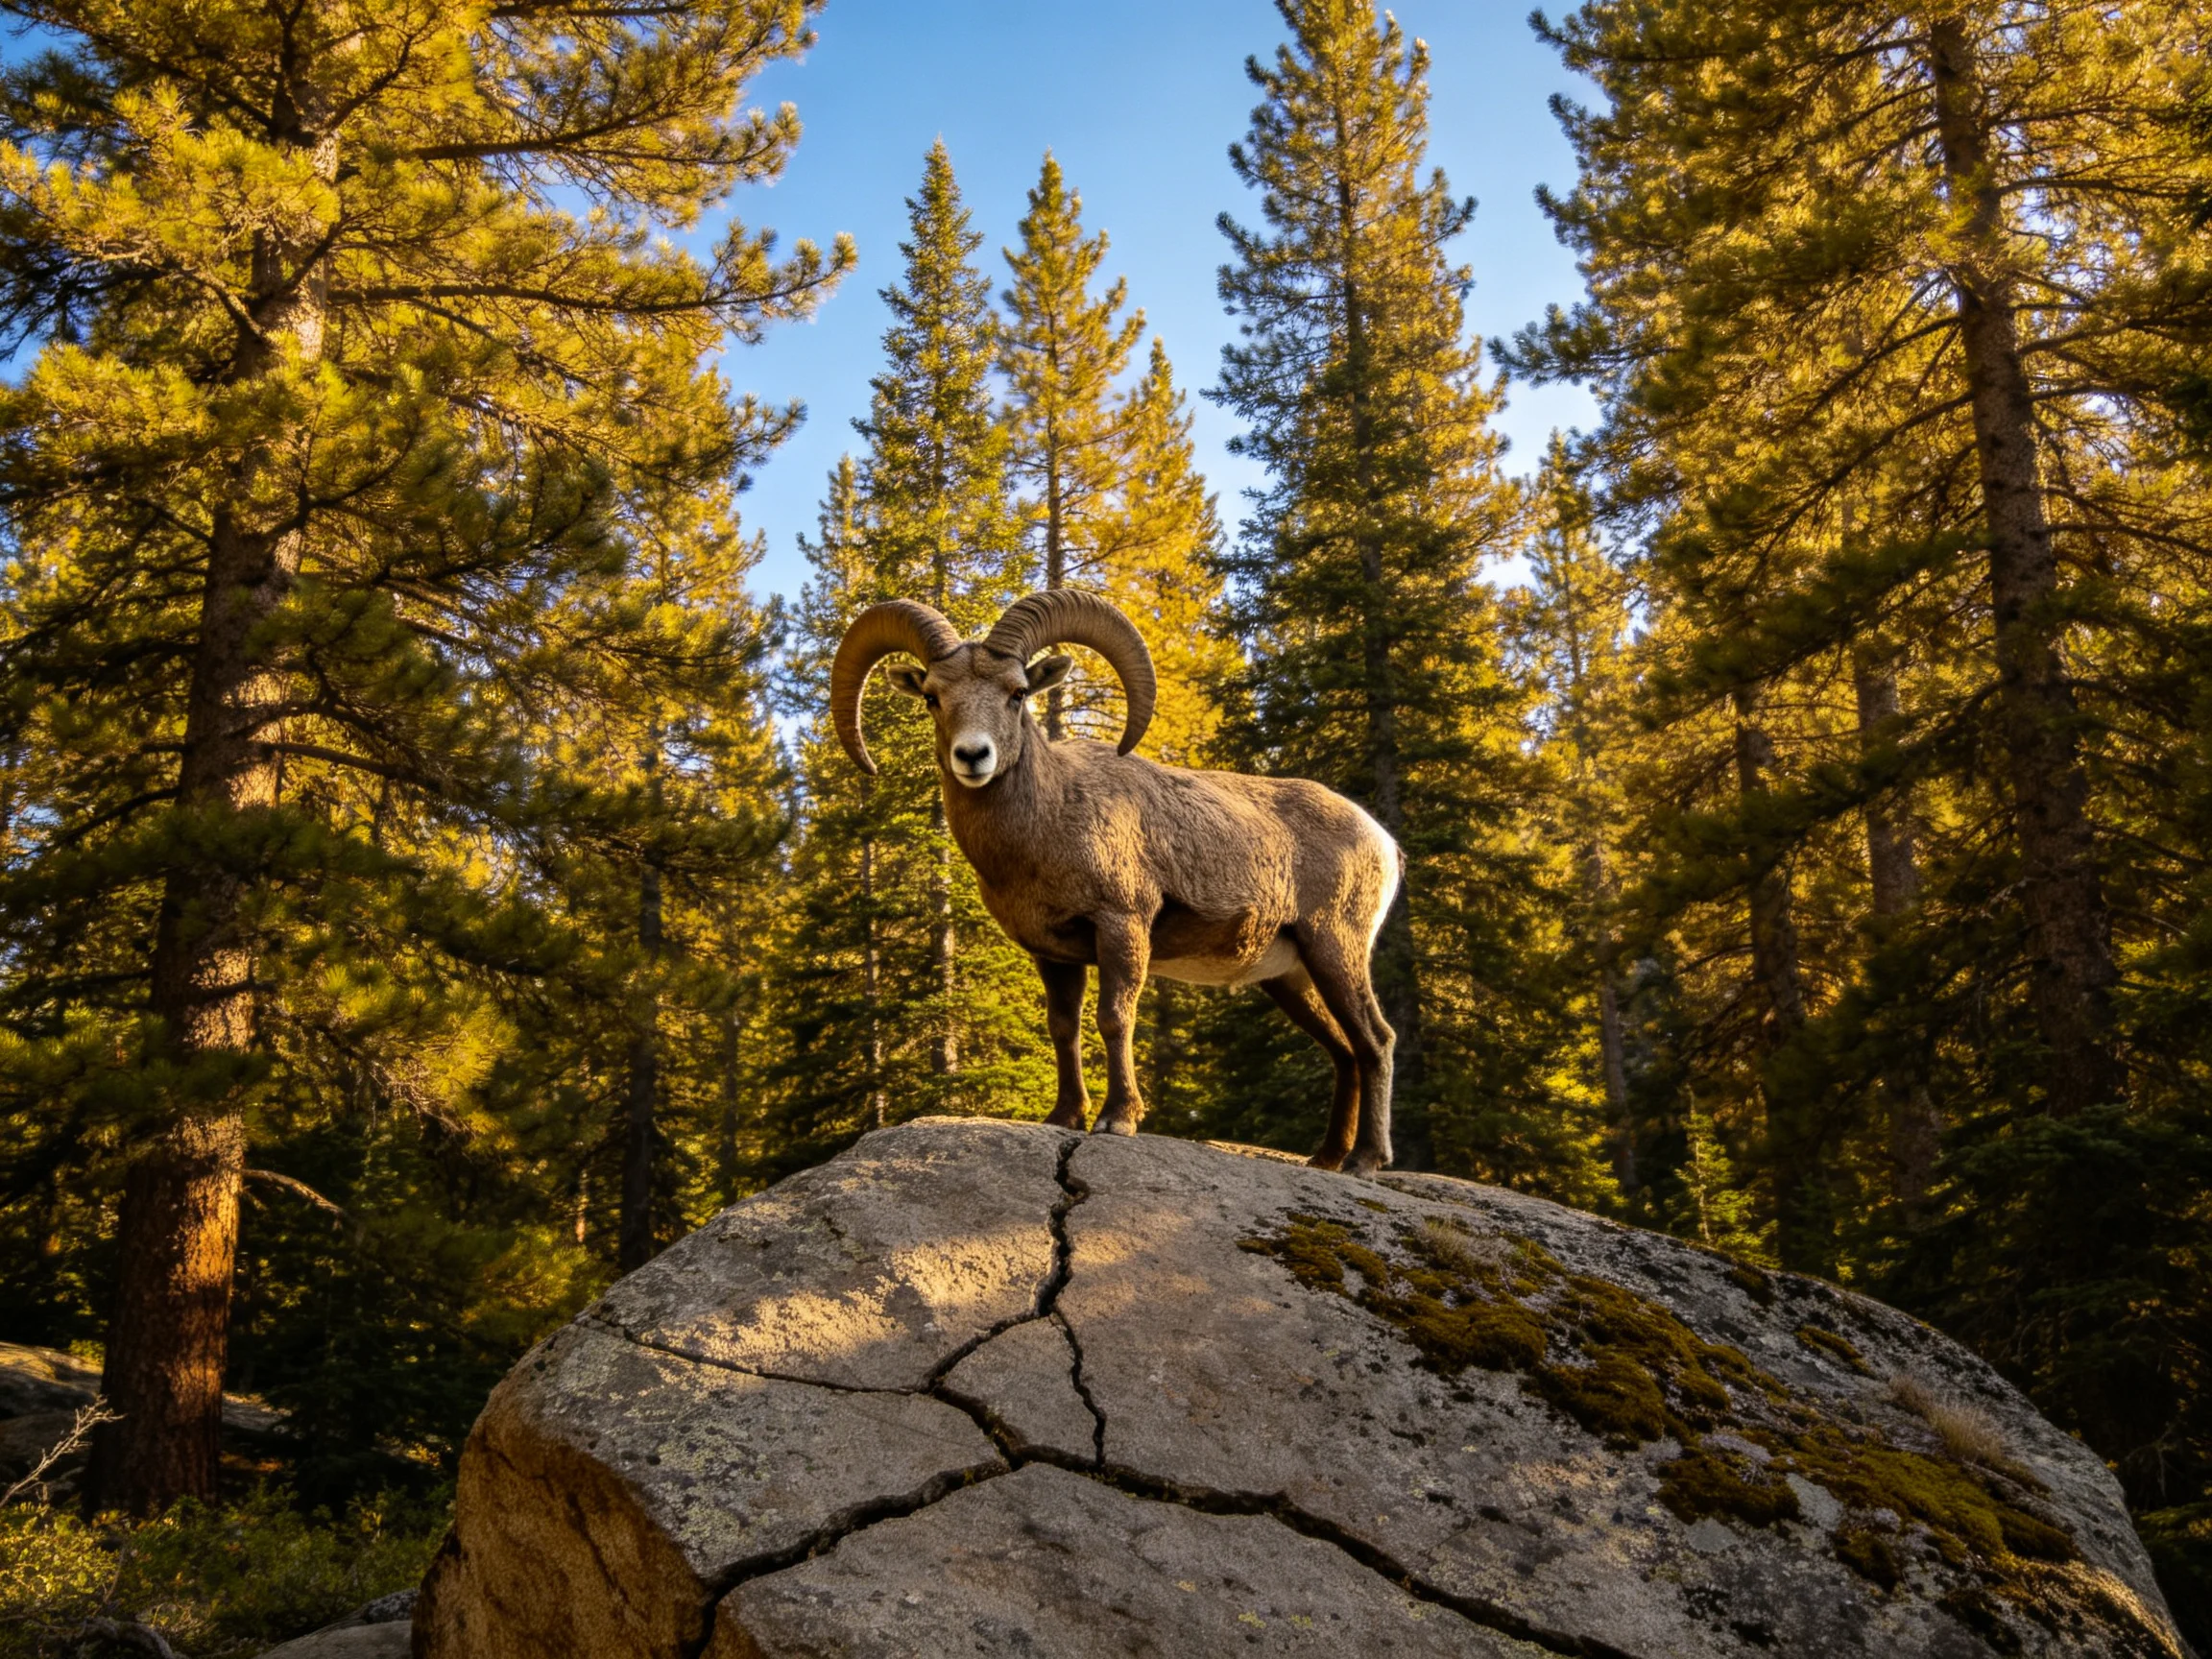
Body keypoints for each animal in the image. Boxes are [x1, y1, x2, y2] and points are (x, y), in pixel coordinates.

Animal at [831, 589, 1402, 1174]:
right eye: (932, 697)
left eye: (1017, 693)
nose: (972, 756)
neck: (1048, 823)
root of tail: (1381, 840)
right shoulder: (1054, 955)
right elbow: (1064, 1027)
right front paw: (1063, 1117)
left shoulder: (1122, 927)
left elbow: (1114, 1018)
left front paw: (1118, 1119)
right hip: (1291, 977)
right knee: (1344, 1050)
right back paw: (1326, 1158)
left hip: (1335, 949)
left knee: (1375, 1040)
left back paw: (1365, 1160)